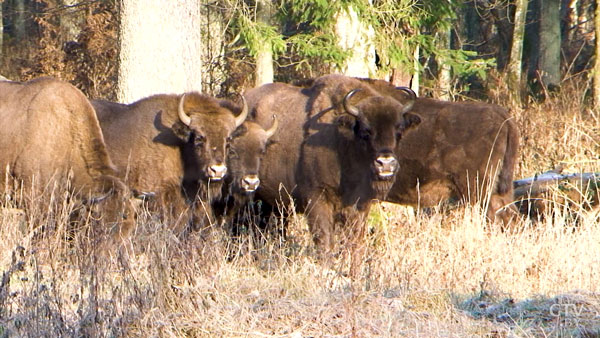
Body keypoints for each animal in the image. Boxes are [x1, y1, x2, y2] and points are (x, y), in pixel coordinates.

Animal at [246, 74, 420, 264]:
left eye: (399, 131)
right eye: (366, 131)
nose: (386, 164)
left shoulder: (360, 204)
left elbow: (355, 241)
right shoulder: (317, 199)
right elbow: (325, 240)